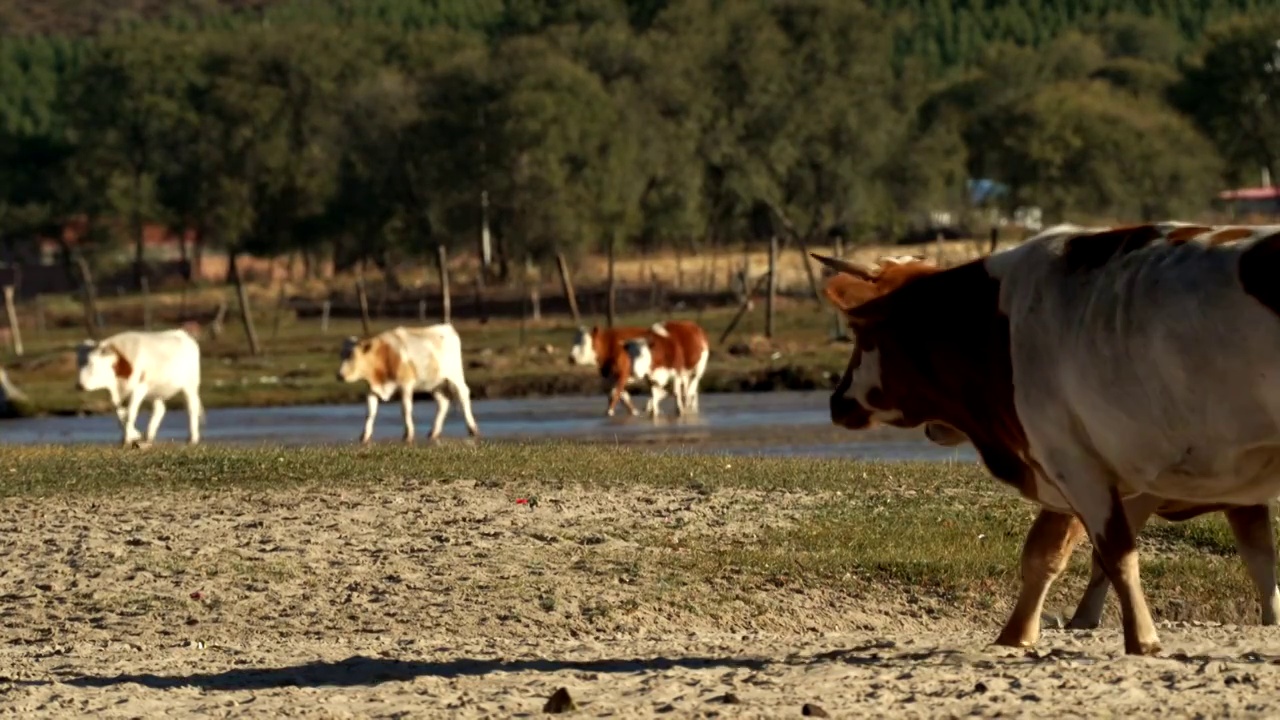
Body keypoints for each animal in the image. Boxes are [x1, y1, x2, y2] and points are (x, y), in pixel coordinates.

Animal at [75, 327, 204, 445]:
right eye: (79, 364)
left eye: (92, 364)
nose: (79, 385)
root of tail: (182, 334)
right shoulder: (114, 392)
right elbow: (120, 413)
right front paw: (134, 434)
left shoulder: (139, 388)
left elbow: (130, 413)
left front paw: (127, 439)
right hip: (155, 390)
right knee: (160, 409)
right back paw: (148, 436)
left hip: (190, 385)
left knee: (192, 408)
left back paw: (192, 438)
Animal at [335, 320, 481, 443]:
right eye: (341, 355)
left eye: (353, 356)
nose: (339, 375)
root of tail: (446, 327)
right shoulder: (372, 389)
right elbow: (370, 413)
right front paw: (364, 436)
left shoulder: (406, 384)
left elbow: (406, 409)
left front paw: (408, 435)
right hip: (434, 383)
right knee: (443, 402)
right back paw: (433, 433)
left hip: (455, 375)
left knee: (463, 395)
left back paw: (472, 429)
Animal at [814, 221, 1280, 653]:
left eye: (861, 335)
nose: (836, 401)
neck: (993, 324)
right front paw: (1022, 633)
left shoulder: (1072, 459)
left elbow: (1109, 553)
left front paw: (1140, 638)